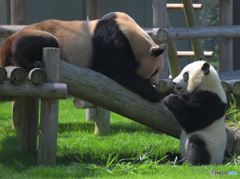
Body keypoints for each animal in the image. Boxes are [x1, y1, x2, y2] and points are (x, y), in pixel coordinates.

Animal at [0, 11, 165, 102]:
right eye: (154, 72)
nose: (156, 83)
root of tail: (10, 38)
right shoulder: (113, 42)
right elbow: (121, 73)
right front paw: (155, 94)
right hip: (39, 33)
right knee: (36, 44)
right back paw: (32, 64)